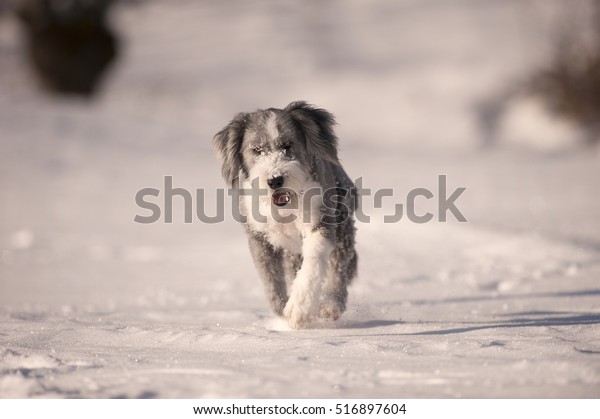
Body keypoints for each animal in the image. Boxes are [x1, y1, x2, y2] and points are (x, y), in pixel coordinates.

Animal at [213, 102, 356, 332]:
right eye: (256, 150)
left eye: (287, 145)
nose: (275, 179)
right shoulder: (259, 238)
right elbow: (271, 279)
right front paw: (281, 311)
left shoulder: (320, 222)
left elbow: (314, 261)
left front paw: (299, 309)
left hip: (343, 223)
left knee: (339, 267)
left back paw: (331, 305)